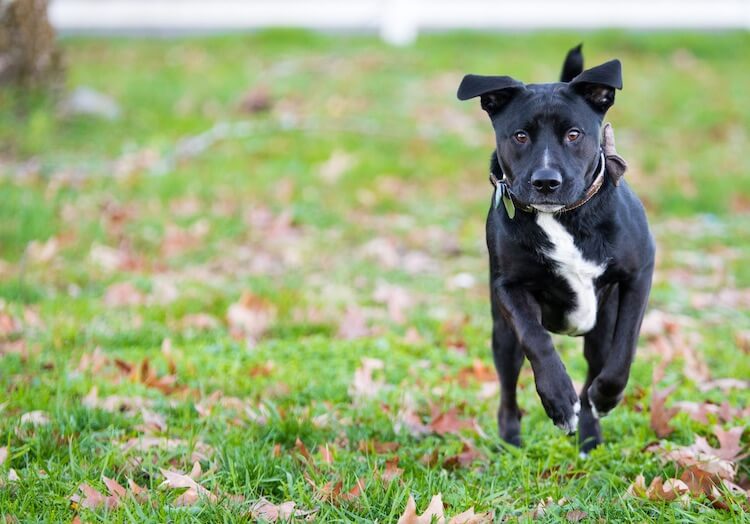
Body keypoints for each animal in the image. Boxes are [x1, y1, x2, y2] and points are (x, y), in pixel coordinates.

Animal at [456, 46, 656, 454]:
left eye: (574, 134)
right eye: (519, 136)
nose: (546, 182)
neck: (562, 217)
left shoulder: (639, 274)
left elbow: (625, 347)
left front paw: (605, 396)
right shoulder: (509, 288)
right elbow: (536, 339)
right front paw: (560, 402)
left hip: (600, 325)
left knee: (599, 362)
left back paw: (591, 433)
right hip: (501, 335)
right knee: (508, 385)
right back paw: (511, 440)